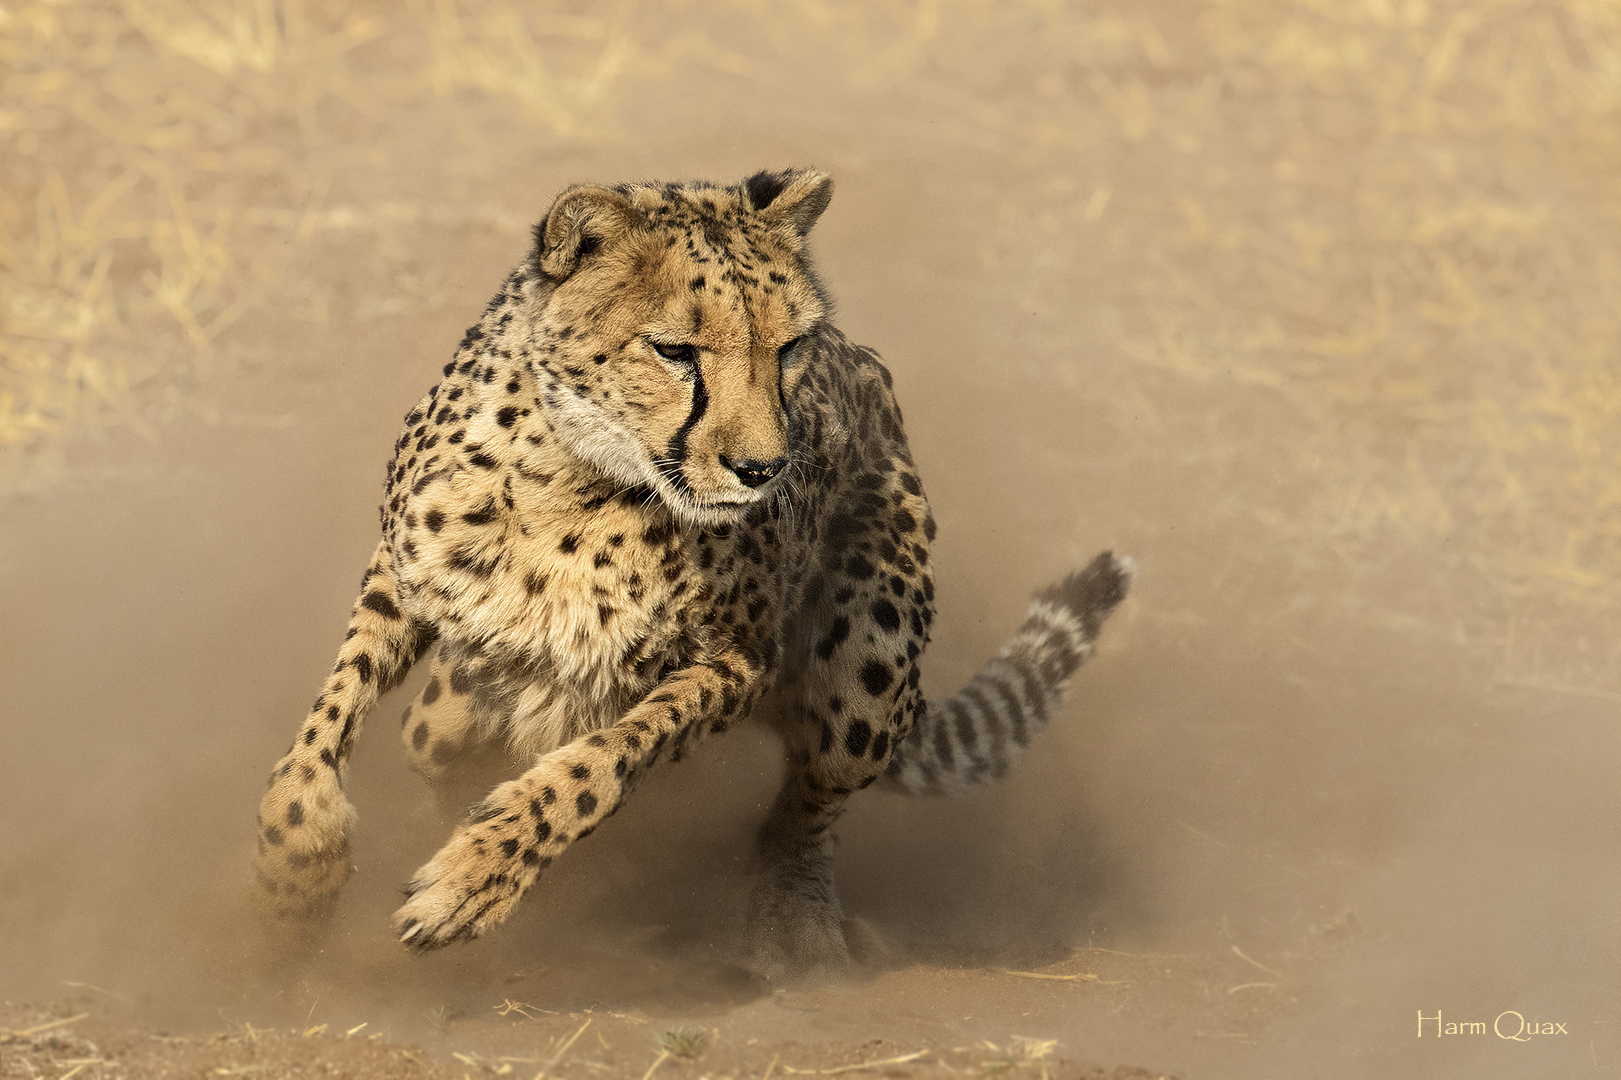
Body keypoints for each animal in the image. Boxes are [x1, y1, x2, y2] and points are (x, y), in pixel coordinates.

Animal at [251, 167, 1134, 983]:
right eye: (673, 350)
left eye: (787, 348)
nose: (763, 469)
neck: (571, 480)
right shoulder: (404, 574)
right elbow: (322, 726)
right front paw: (295, 874)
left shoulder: (738, 660)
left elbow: (599, 765)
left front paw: (475, 876)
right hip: (454, 709)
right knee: (432, 732)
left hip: (867, 670)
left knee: (807, 807)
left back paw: (796, 927)